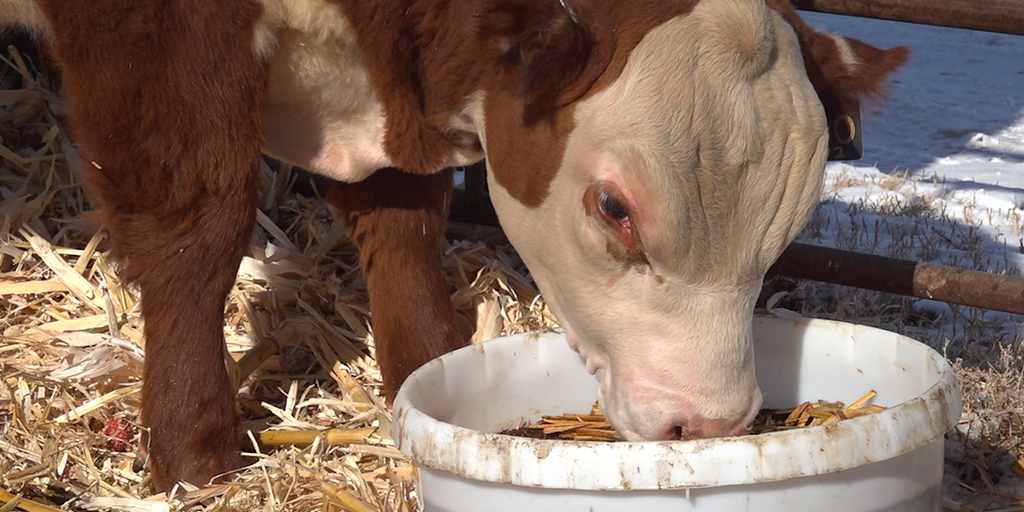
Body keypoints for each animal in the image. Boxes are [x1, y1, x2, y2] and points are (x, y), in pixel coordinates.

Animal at [1, 0, 907, 492]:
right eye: (615, 208)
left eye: (789, 228)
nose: (711, 423)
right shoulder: (162, 45)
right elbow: (199, 228)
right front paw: (195, 450)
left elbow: (402, 223)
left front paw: (420, 365)